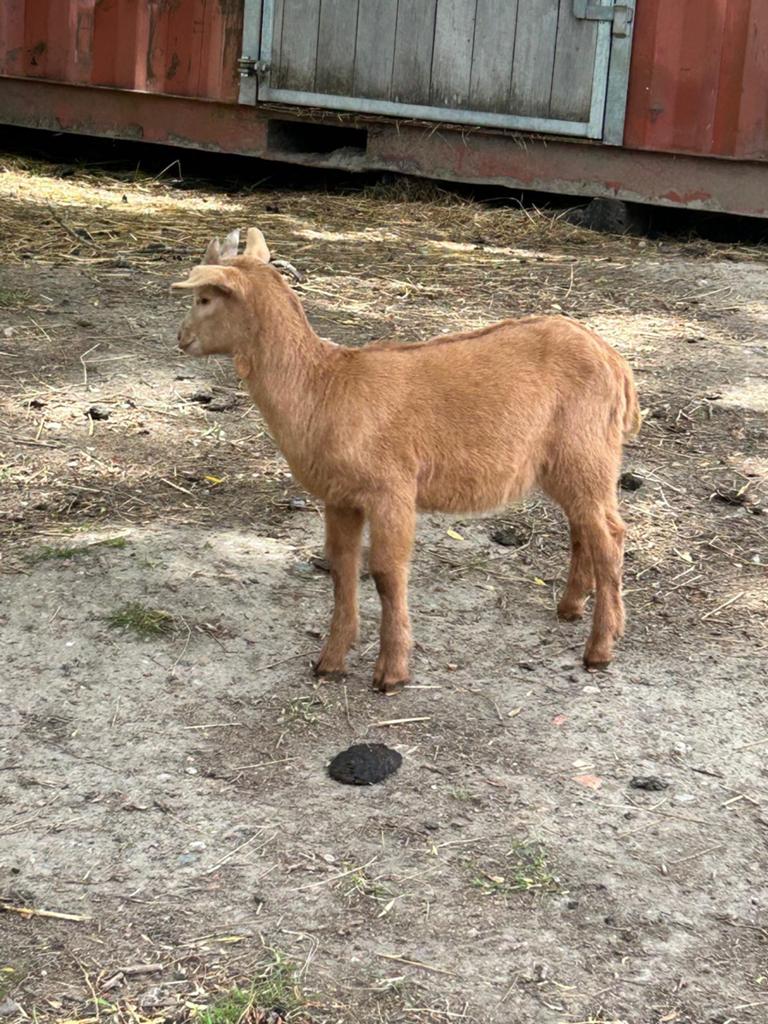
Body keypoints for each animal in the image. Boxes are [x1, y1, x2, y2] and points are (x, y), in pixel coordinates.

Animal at [172, 227, 640, 693]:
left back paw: (600, 648)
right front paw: (330, 661)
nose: (181, 339)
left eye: (205, 298)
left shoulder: (391, 488)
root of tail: (616, 362)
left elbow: (386, 572)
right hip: (568, 463)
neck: (323, 387)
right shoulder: (341, 497)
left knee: (609, 536)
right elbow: (342, 567)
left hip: (586, 450)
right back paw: (572, 608)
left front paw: (391, 673)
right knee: (587, 527)